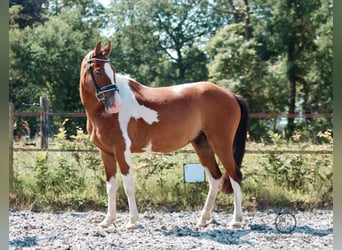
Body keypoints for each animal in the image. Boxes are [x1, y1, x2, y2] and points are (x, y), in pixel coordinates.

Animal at [80, 41, 248, 230]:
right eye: (98, 71)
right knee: (215, 178)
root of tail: (232, 95)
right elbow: (111, 187)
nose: (115, 104)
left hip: (221, 144)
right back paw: (203, 219)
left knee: (235, 175)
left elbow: (128, 186)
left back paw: (236, 220)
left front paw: (133, 222)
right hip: (202, 145)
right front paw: (108, 220)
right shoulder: (106, 153)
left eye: (113, 70)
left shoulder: (122, 150)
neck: (102, 113)